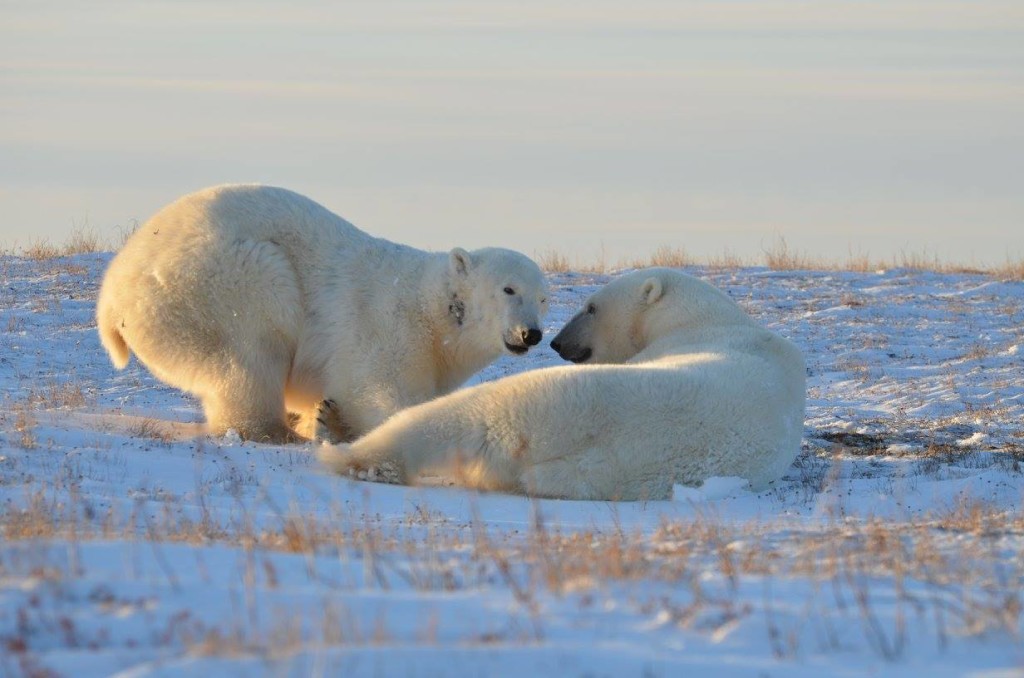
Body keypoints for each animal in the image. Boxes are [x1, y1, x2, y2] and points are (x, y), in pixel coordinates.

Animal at [96, 184, 549, 443]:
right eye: (509, 289)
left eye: (543, 298)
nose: (531, 334)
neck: (432, 311)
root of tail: (111, 295)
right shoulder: (386, 328)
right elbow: (380, 390)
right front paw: (337, 422)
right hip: (219, 278)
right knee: (253, 345)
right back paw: (274, 431)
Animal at [318, 268, 805, 500]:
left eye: (590, 306)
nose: (555, 342)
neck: (705, 319)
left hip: (545, 403)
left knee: (449, 419)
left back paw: (342, 444)